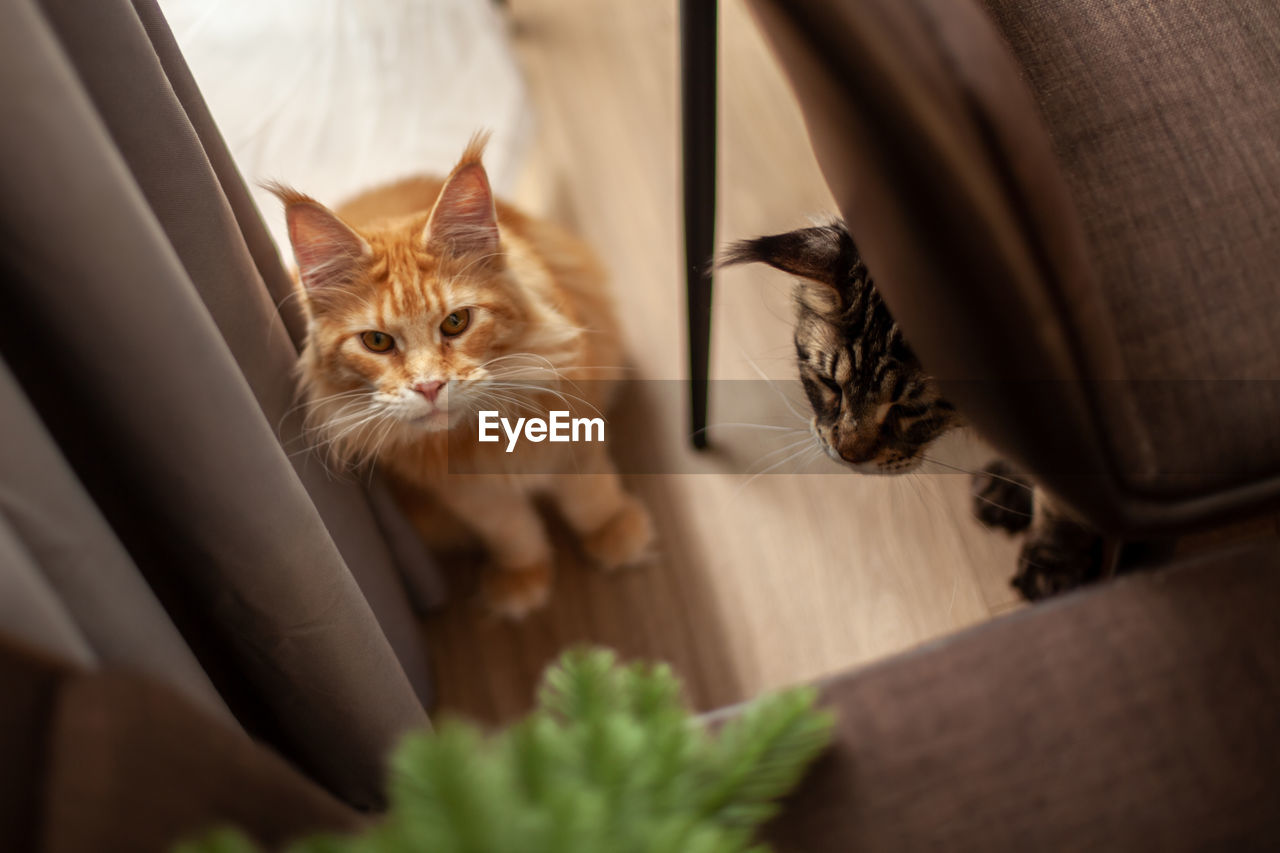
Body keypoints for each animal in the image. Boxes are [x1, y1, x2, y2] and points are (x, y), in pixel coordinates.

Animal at [270, 133, 650, 614]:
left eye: (456, 322)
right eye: (377, 342)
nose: (429, 386)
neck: (479, 438)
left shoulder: (575, 434)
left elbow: (590, 495)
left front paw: (615, 532)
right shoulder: (467, 494)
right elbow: (511, 531)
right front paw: (523, 577)